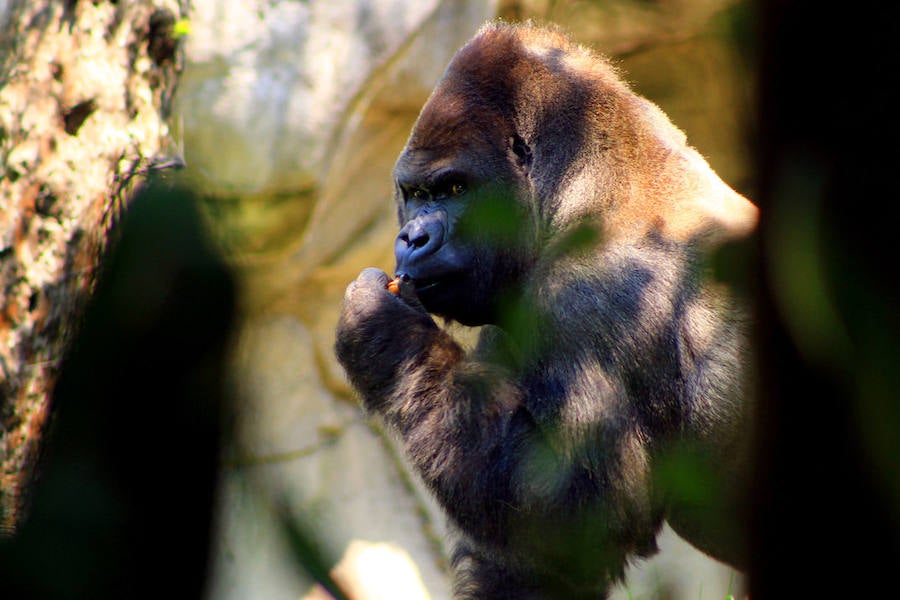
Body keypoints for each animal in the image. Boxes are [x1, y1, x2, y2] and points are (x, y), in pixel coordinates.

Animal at [334, 22, 756, 600]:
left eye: (455, 188)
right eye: (415, 194)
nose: (412, 238)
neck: (592, 183)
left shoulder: (586, 296)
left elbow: (578, 512)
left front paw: (383, 334)